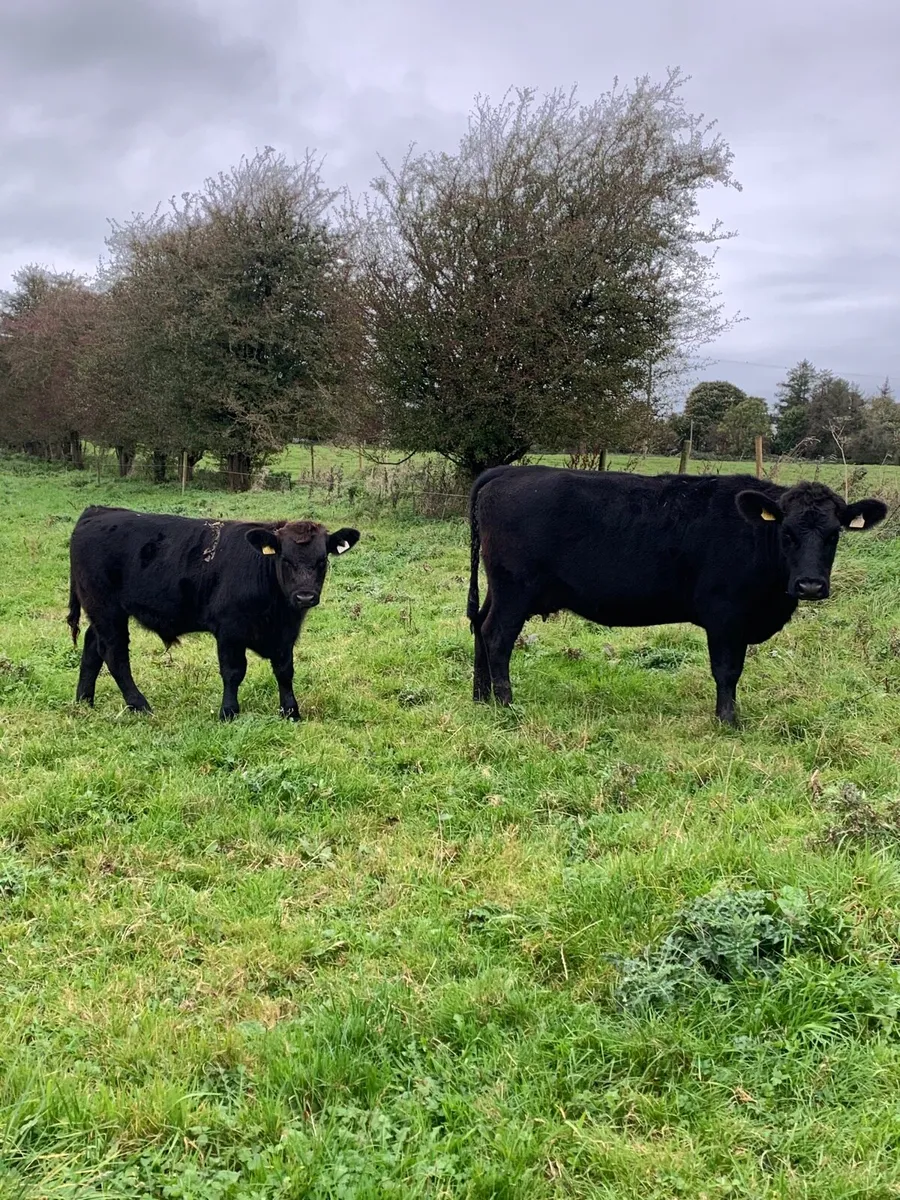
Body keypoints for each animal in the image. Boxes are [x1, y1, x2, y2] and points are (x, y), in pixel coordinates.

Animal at [67, 506, 360, 720]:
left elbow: (285, 671)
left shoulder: (285, 634)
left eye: (322, 560)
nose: (304, 596)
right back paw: (140, 705)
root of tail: (97, 511)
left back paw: (84, 701)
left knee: (92, 647)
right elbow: (233, 671)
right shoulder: (229, 630)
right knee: (115, 655)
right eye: (285, 559)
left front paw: (290, 711)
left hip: (102, 612)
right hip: (107, 609)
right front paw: (228, 712)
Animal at [467, 466, 888, 725]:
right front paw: (727, 721)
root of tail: (511, 471)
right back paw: (505, 702)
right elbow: (727, 670)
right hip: (515, 590)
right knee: (497, 637)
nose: (810, 585)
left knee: (479, 627)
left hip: (500, 589)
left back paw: (481, 697)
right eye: (787, 533)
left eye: (833, 535)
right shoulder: (726, 616)